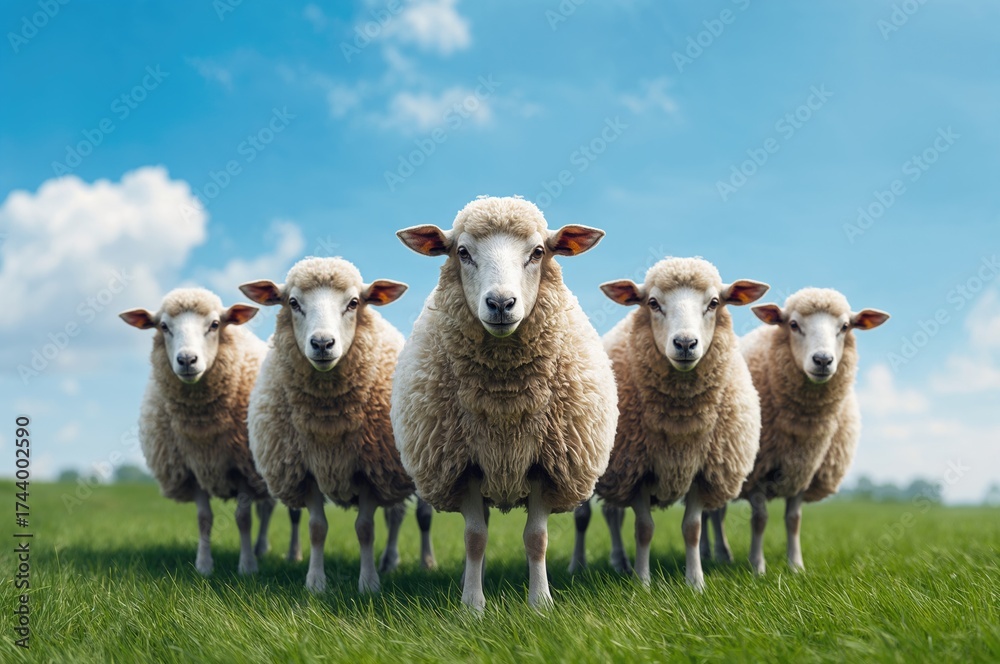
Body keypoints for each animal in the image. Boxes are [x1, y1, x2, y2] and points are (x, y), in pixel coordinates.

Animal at [119, 287, 301, 576]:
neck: (202, 428)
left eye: (215, 324)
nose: (187, 360)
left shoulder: (244, 468)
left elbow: (242, 518)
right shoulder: (194, 468)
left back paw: (293, 554)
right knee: (267, 507)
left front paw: (247, 566)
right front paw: (204, 565)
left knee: (292, 512)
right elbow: (204, 519)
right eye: (163, 326)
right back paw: (261, 548)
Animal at [240, 257, 423, 594]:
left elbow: (365, 528)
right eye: (293, 303)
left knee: (404, 516)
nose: (322, 343)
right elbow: (316, 528)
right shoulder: (306, 471)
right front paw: (315, 583)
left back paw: (410, 562)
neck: (328, 422)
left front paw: (368, 583)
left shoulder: (370, 470)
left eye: (354, 303)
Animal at [392, 195, 618, 610]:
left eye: (538, 252)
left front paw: (540, 603)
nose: (500, 303)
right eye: (462, 252)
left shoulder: (547, 464)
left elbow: (536, 539)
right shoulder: (463, 467)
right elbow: (475, 537)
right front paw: (472, 606)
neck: (504, 402)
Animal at [571, 257, 769, 591]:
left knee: (612, 514)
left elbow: (692, 528)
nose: (685, 343)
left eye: (714, 303)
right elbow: (644, 528)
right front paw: (643, 582)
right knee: (583, 516)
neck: (680, 424)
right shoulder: (636, 472)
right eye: (653, 303)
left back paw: (620, 562)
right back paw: (579, 564)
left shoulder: (702, 472)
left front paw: (696, 582)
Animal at [704, 288, 889, 575]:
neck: (802, 425)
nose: (823, 360)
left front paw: (796, 566)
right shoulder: (756, 472)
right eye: (793, 325)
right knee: (711, 513)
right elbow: (760, 519)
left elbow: (794, 520)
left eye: (845, 327)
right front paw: (758, 567)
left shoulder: (804, 469)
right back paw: (714, 553)